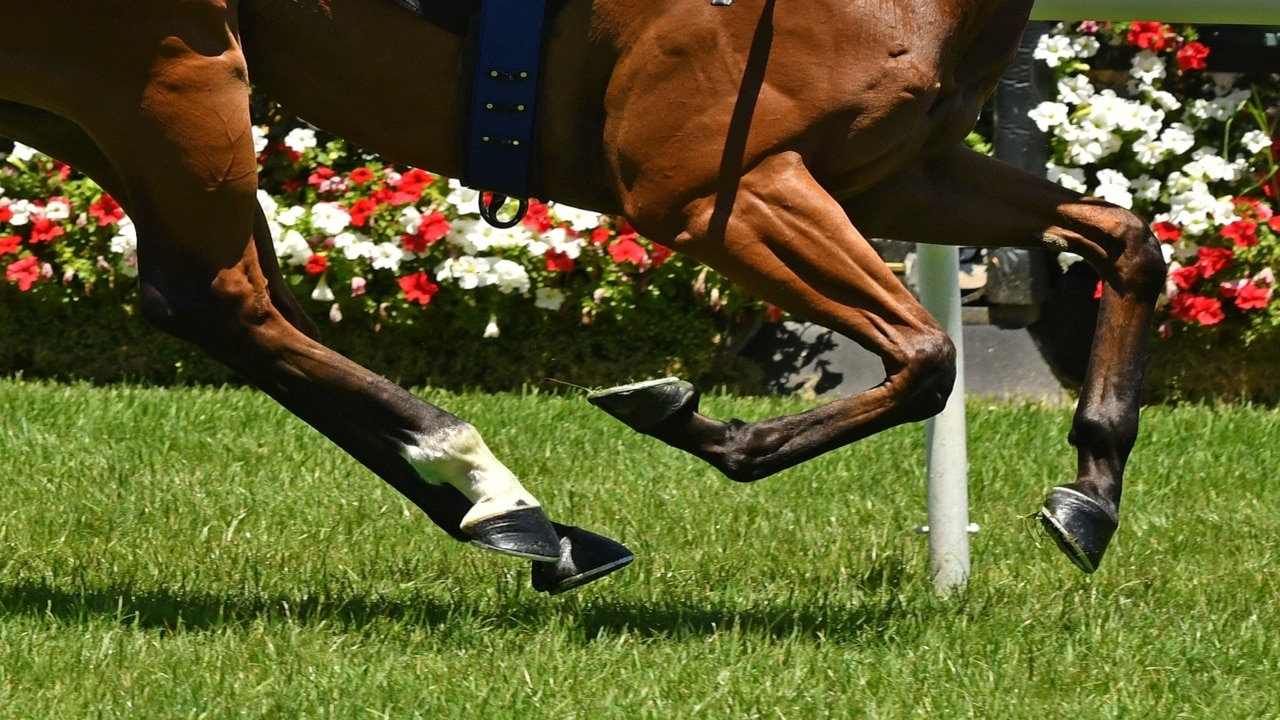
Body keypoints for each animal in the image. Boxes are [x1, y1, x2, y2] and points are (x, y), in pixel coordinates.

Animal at [0, 0, 1167, 576]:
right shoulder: (710, 183)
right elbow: (926, 354)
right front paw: (697, 421)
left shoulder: (898, 167)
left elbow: (1127, 241)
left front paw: (1092, 492)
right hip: (168, 73)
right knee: (227, 297)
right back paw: (494, 490)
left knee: (217, 304)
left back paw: (524, 520)